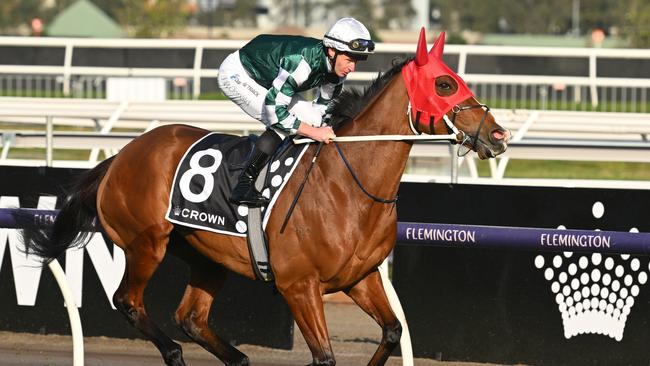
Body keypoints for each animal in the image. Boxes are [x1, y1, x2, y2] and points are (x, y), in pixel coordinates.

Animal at [22, 29, 508, 366]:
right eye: (444, 84)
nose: (498, 135)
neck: (346, 184)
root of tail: (120, 156)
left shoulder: (360, 277)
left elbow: (391, 332)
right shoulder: (299, 286)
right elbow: (325, 356)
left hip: (205, 256)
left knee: (191, 317)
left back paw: (237, 357)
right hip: (146, 244)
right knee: (129, 302)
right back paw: (175, 352)